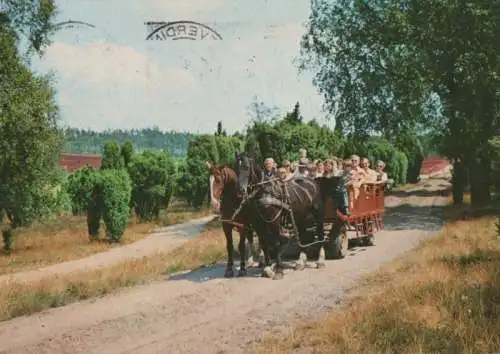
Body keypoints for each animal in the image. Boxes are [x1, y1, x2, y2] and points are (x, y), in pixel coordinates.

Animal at [233, 152, 326, 280]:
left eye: (246, 167)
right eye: (235, 168)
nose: (239, 190)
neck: (264, 192)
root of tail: (312, 182)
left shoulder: (274, 221)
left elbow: (276, 243)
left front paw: (279, 270)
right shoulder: (258, 224)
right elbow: (264, 244)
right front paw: (267, 269)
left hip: (318, 214)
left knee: (321, 233)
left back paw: (320, 260)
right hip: (300, 216)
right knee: (303, 234)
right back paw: (301, 262)